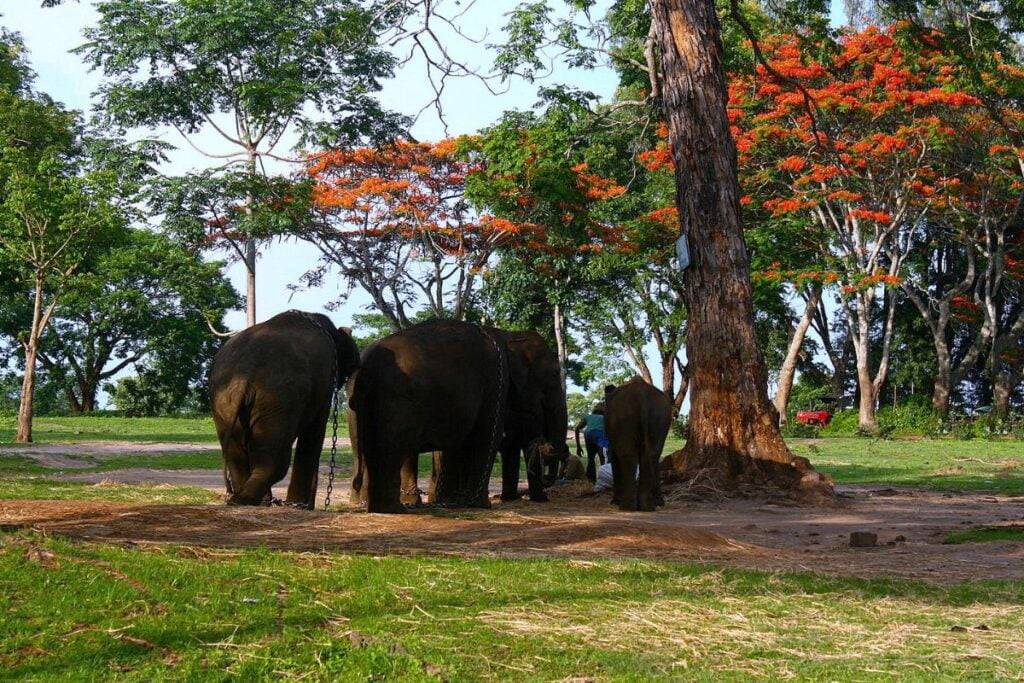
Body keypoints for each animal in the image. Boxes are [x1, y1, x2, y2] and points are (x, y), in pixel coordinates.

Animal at [207, 309, 360, 507]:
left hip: (223, 400)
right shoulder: (326, 378)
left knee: (238, 454)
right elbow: (315, 428)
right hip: (277, 400)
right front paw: (302, 507)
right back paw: (251, 499)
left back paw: (245, 500)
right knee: (275, 459)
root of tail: (243, 376)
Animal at [348, 321, 507, 511]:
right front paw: (480, 505)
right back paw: (394, 509)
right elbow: (488, 435)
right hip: (397, 399)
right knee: (392, 445)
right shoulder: (495, 381)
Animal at [602, 376, 675, 509]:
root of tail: (642, 396)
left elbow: (614, 456)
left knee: (628, 455)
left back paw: (626, 506)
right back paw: (647, 506)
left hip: (623, 417)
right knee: (652, 455)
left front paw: (615, 501)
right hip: (659, 417)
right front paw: (659, 502)